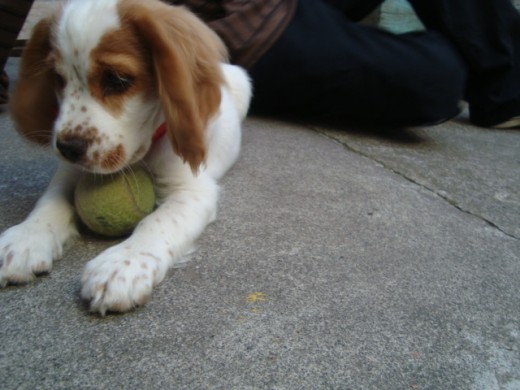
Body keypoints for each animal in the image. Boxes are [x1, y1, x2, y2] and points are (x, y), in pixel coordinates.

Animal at [0, 0, 252, 316]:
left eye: (117, 79)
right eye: (58, 79)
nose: (67, 148)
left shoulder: (192, 190)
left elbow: (158, 222)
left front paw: (121, 266)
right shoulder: (70, 171)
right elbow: (50, 200)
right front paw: (25, 238)